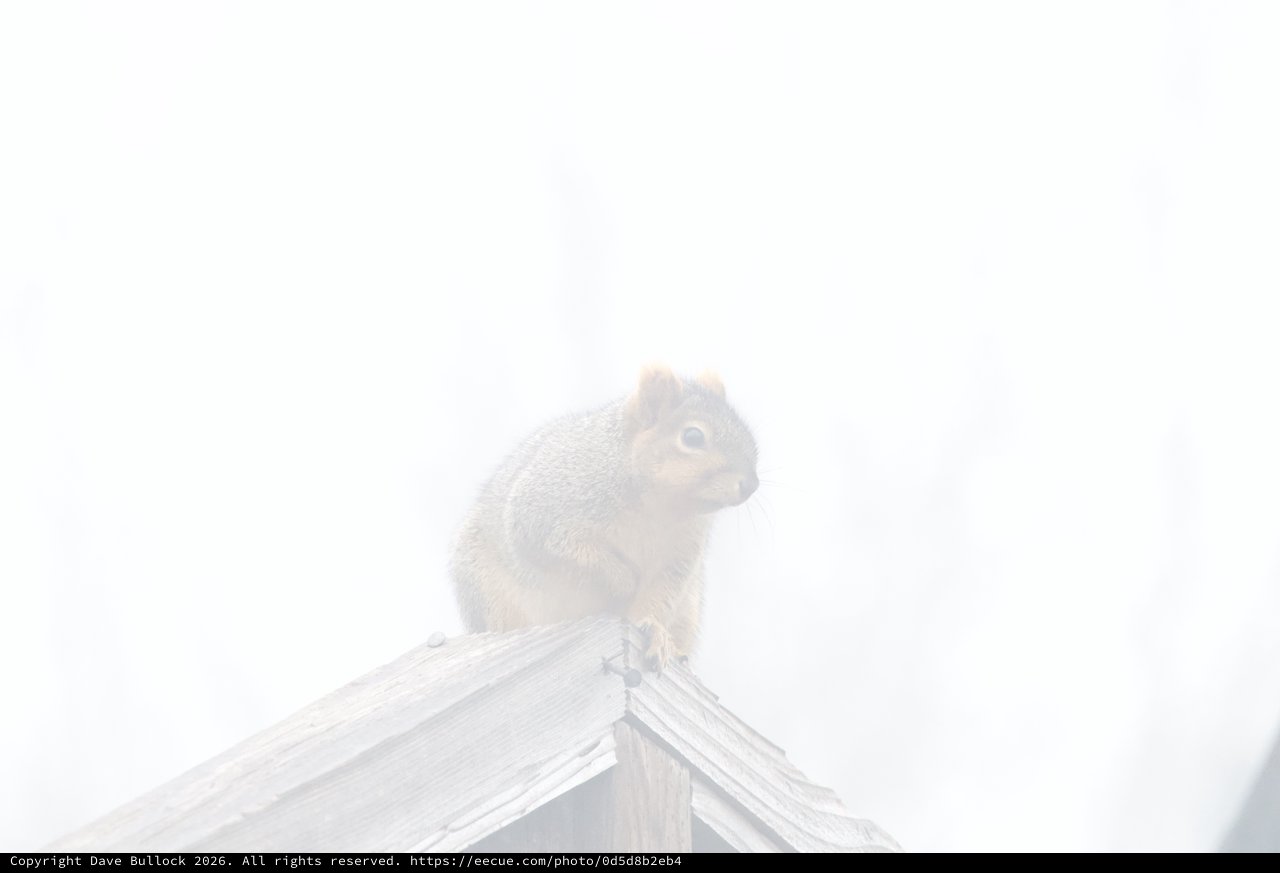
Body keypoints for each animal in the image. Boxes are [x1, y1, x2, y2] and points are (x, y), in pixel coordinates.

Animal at [449, 365, 759, 671]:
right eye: (693, 437)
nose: (751, 484)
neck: (658, 506)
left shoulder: (680, 556)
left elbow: (658, 597)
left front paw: (654, 632)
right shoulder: (542, 514)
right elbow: (569, 553)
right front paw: (624, 581)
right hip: (487, 592)